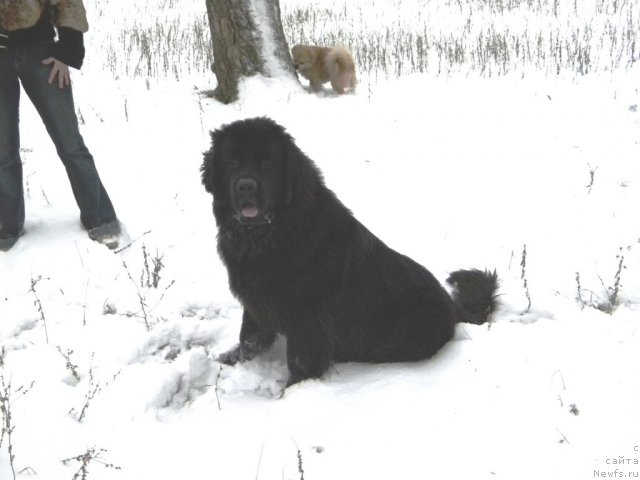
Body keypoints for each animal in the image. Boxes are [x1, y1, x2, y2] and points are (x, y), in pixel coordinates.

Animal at [201, 118, 500, 388]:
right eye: (231, 162)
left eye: (267, 164)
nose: (246, 186)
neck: (267, 236)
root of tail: (453, 306)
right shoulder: (256, 301)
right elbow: (249, 337)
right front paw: (232, 360)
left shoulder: (307, 317)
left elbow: (300, 360)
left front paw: (293, 392)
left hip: (416, 323)